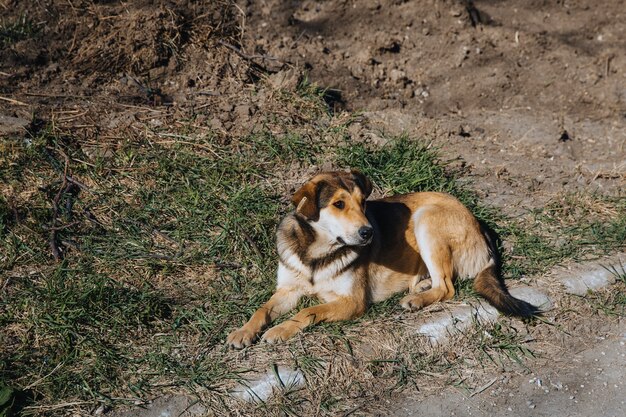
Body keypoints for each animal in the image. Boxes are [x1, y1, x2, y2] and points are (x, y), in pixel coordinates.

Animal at [225, 170, 536, 348]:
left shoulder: (352, 302)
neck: (317, 252)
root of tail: (479, 225)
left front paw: (280, 330)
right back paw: (421, 287)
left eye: (363, 202)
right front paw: (243, 332)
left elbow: (308, 311)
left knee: (447, 287)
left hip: (427, 219)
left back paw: (416, 299)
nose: (369, 232)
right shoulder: (288, 290)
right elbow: (262, 310)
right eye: (339, 204)